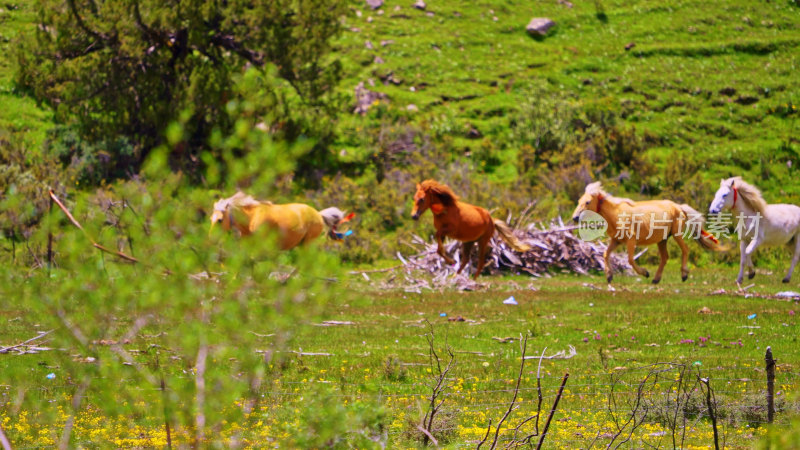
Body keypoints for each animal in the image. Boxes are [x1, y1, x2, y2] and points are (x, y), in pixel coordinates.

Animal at [209, 192, 354, 251]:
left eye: (220, 220)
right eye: (211, 219)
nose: (211, 239)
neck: (252, 218)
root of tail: (319, 214)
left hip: (307, 245)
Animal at [568, 181, 724, 284]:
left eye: (588, 202)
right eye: (579, 200)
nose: (575, 217)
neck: (616, 214)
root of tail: (678, 206)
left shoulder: (631, 240)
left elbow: (630, 260)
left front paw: (645, 273)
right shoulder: (616, 240)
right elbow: (606, 254)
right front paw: (609, 276)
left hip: (676, 234)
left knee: (685, 249)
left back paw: (683, 275)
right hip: (663, 239)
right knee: (665, 257)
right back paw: (656, 279)